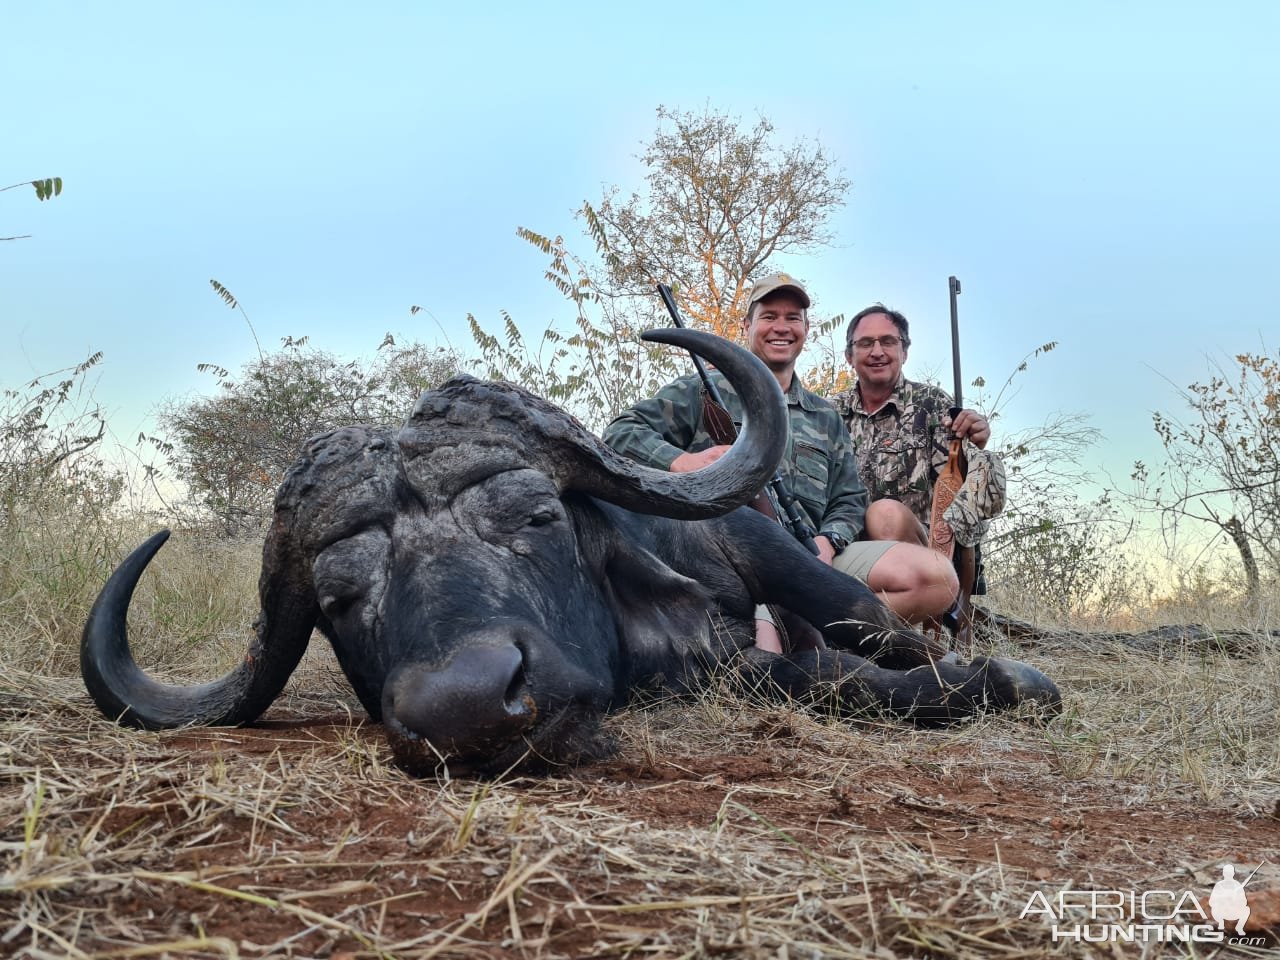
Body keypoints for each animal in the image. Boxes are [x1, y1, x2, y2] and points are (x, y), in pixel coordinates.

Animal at [82, 327, 1059, 778]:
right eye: (338, 599)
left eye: (538, 516)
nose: (469, 705)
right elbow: (795, 674)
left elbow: (847, 663)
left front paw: (1006, 680)